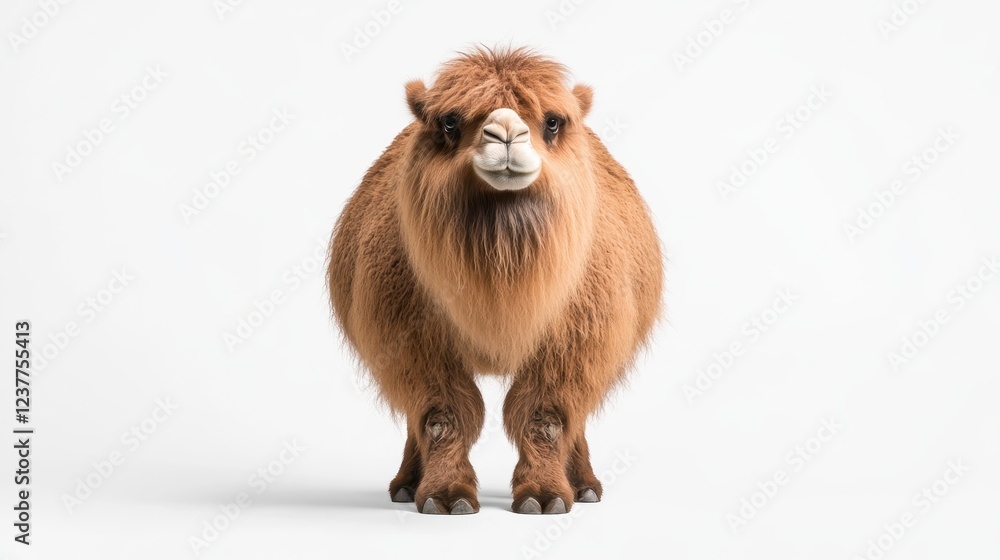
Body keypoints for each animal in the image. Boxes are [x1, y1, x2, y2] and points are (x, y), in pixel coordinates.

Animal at [327, 47, 662, 515]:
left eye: (552, 122)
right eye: (449, 122)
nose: (506, 133)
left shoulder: (576, 338)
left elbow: (546, 415)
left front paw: (544, 495)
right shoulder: (410, 338)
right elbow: (442, 414)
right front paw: (445, 496)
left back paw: (586, 486)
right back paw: (405, 485)